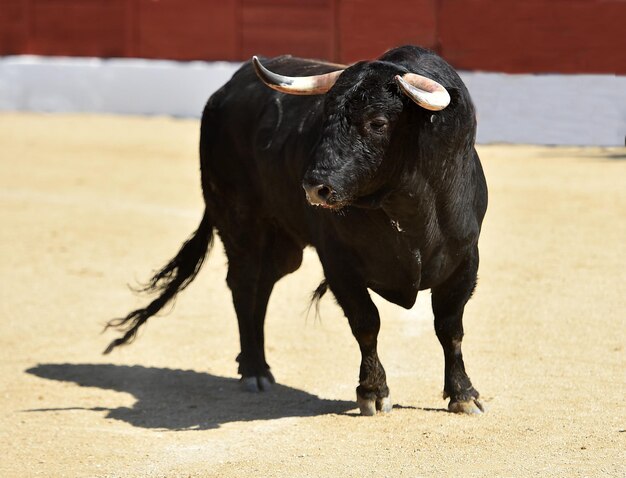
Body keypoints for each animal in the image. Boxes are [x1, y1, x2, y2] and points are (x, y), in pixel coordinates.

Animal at [106, 46, 488, 416]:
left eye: (378, 122)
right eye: (324, 118)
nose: (315, 187)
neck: (405, 206)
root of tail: (222, 95)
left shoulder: (465, 260)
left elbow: (450, 328)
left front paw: (463, 395)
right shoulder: (338, 262)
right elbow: (366, 322)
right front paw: (373, 393)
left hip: (282, 246)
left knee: (262, 287)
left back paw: (259, 366)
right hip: (240, 224)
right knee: (243, 285)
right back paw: (254, 370)